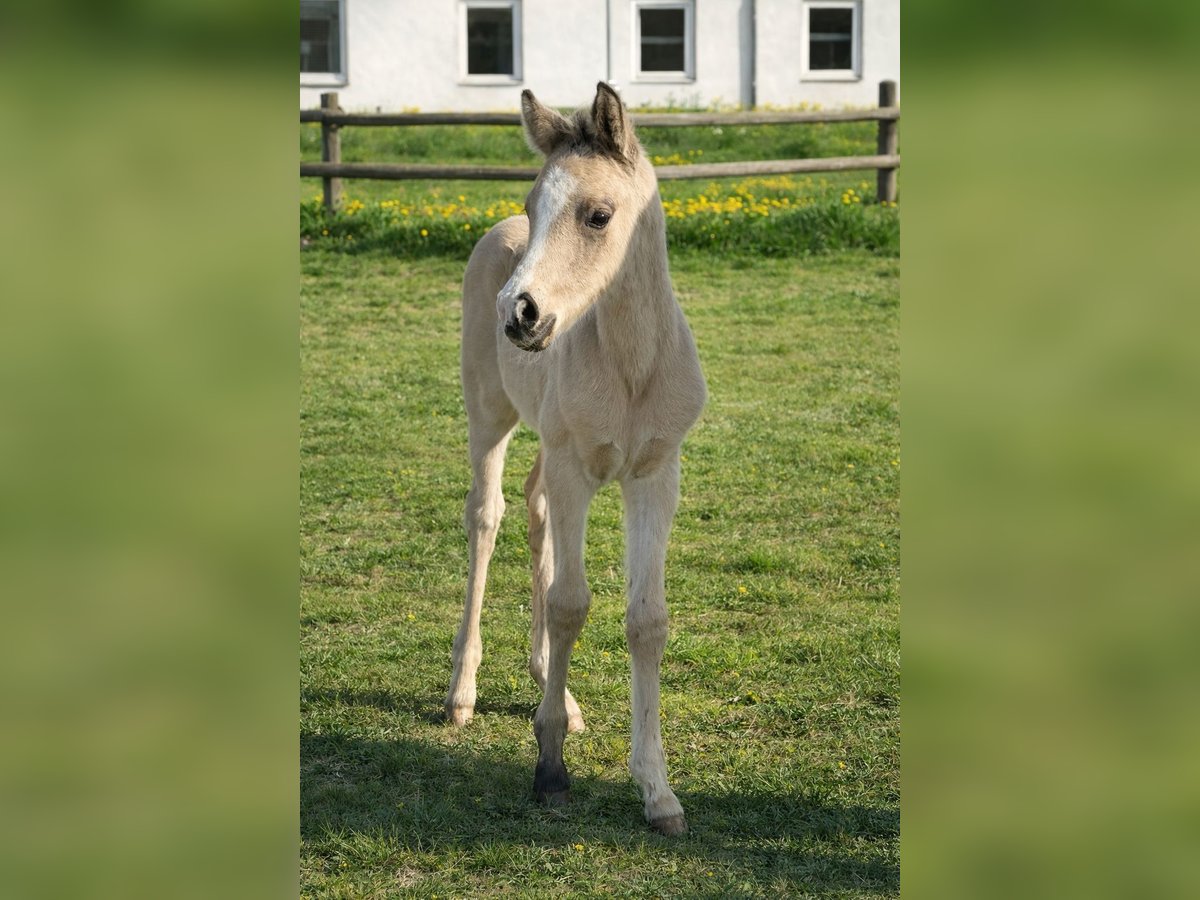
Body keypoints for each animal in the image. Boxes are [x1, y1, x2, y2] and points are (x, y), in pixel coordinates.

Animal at [445, 82, 707, 836]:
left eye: (598, 215)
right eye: (536, 206)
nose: (518, 313)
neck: (632, 367)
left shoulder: (653, 475)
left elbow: (647, 619)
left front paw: (657, 791)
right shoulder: (575, 470)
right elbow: (570, 604)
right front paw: (551, 768)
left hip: (551, 447)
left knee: (534, 512)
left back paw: (547, 681)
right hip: (491, 418)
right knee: (488, 516)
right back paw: (462, 692)